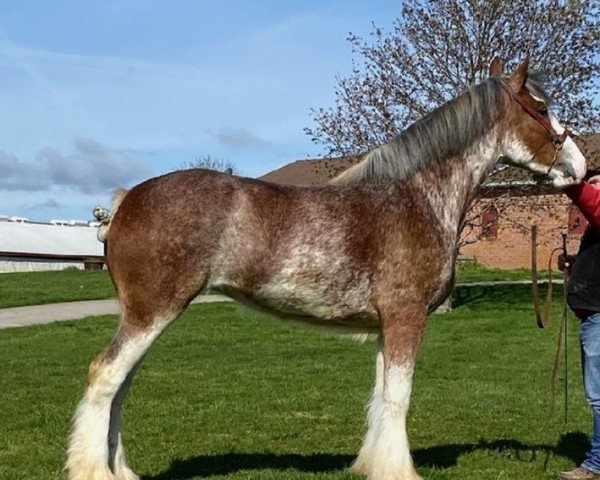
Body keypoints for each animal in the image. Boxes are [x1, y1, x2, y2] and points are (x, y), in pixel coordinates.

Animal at [65, 59, 584, 480]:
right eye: (541, 108)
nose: (579, 167)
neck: (417, 197)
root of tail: (125, 201)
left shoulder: (386, 327)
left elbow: (380, 398)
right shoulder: (406, 318)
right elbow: (399, 397)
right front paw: (399, 470)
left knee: (120, 388)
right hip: (152, 312)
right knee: (106, 377)